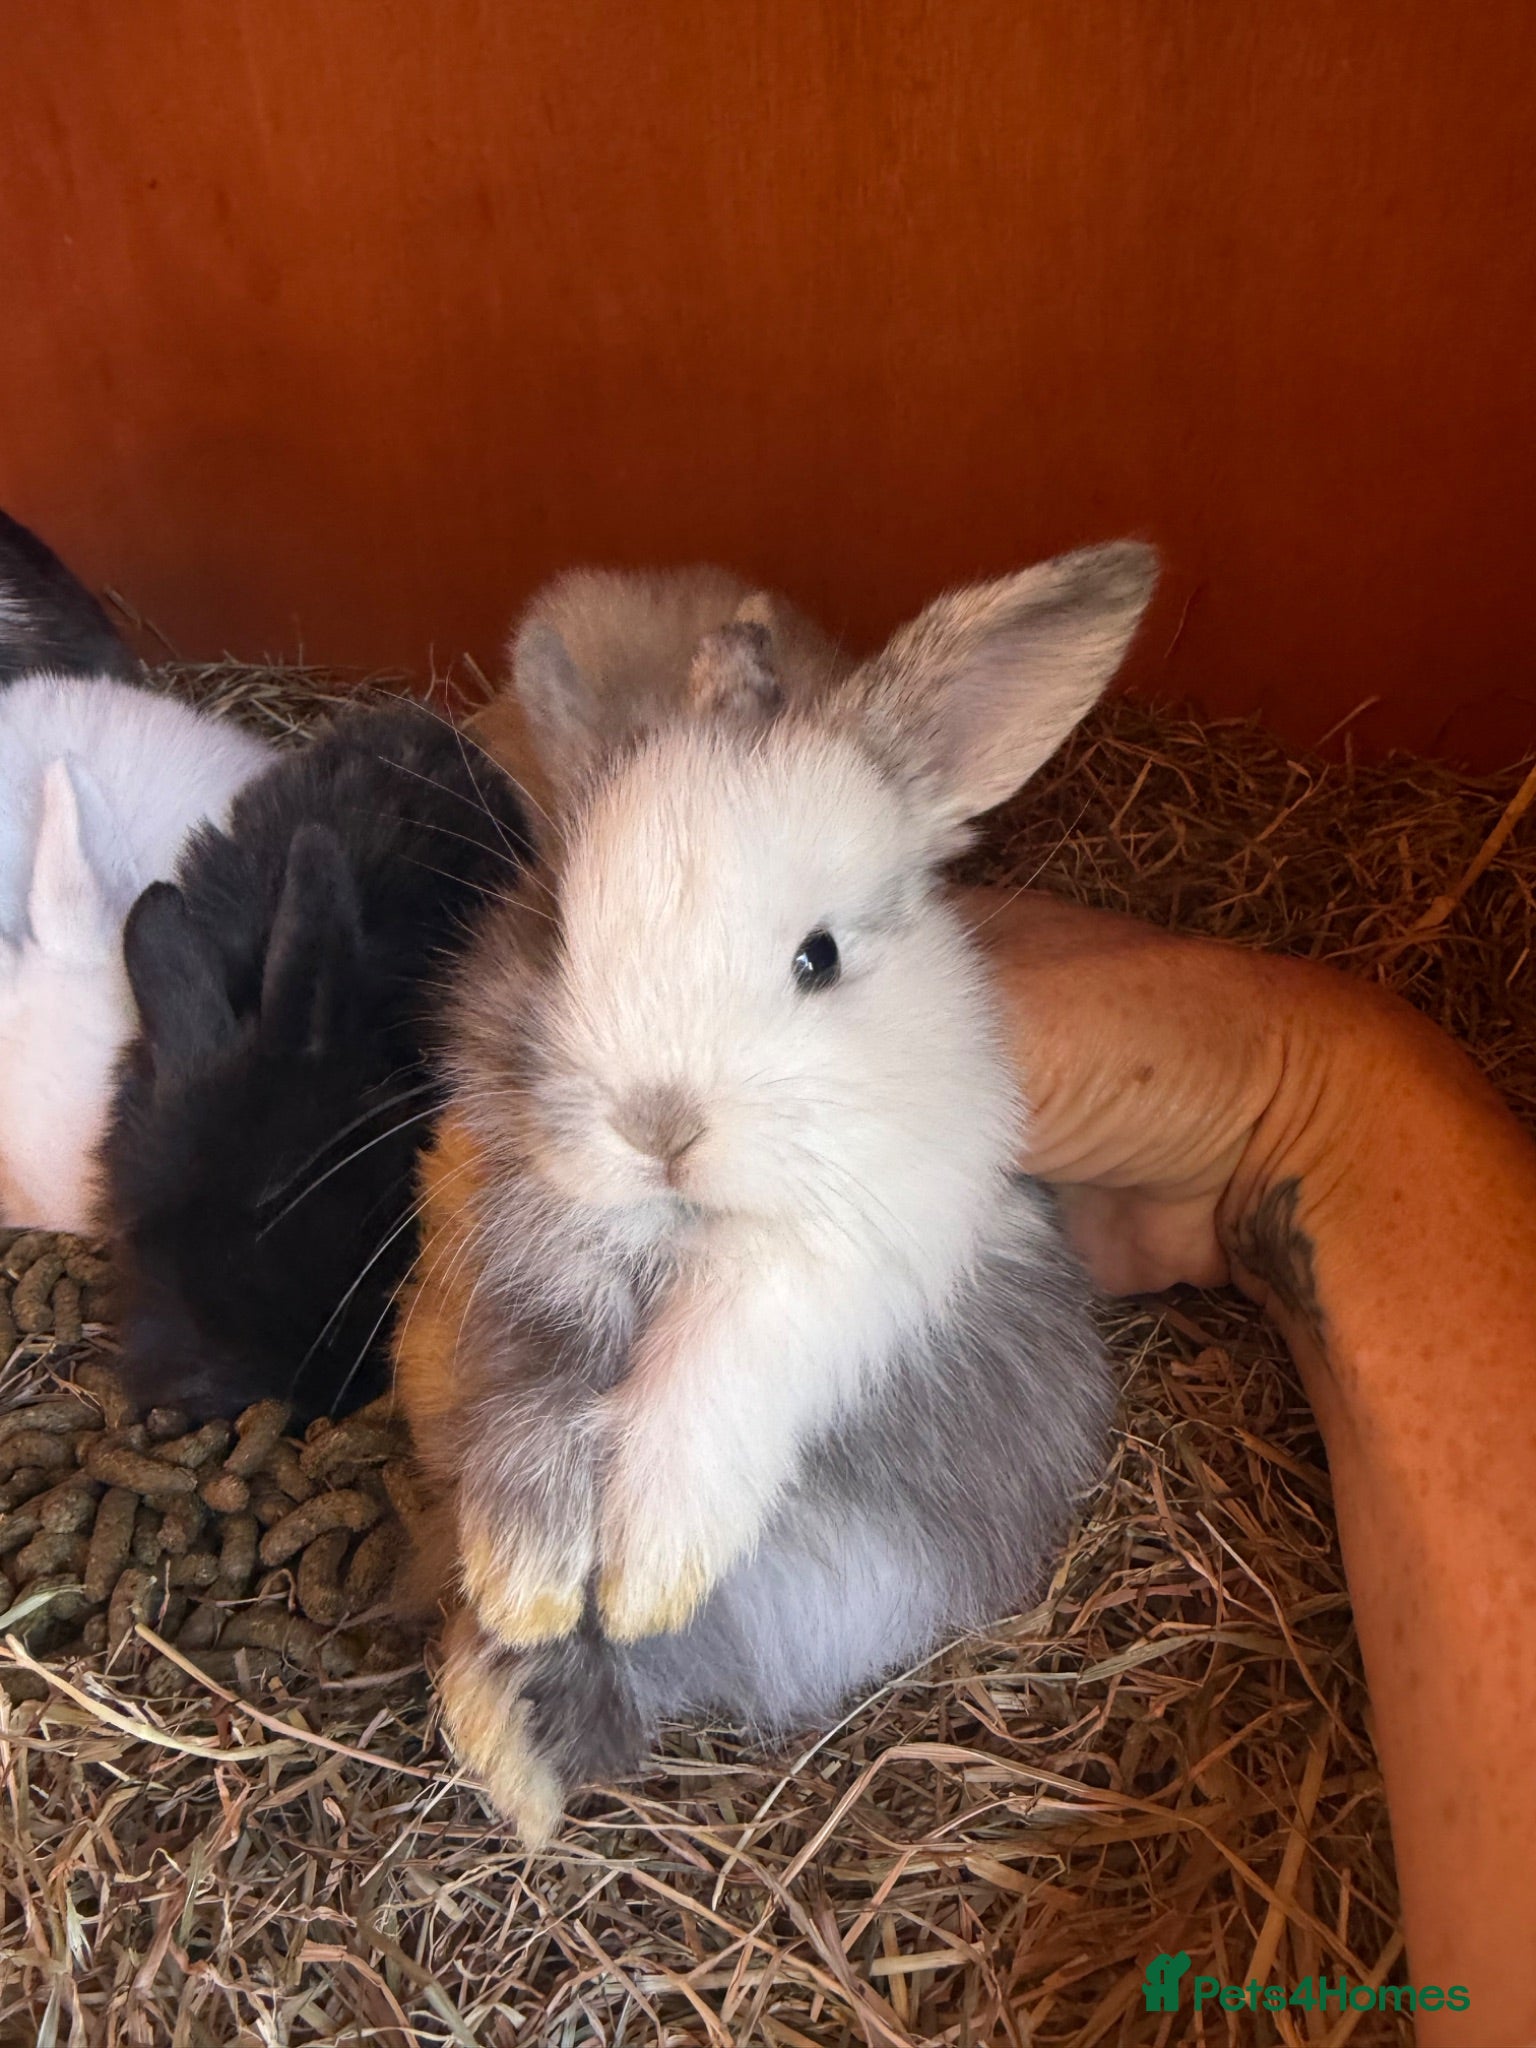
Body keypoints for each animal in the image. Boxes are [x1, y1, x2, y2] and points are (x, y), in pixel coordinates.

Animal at [394, 539, 1158, 1842]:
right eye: (559, 930)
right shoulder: (524, 1241)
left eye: (820, 957)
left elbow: (716, 1367)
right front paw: (524, 1583)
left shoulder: (856, 1252)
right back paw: (510, 1715)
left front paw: (642, 1570)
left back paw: (521, 1728)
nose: (656, 1121)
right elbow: (532, 1394)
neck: (682, 1221)